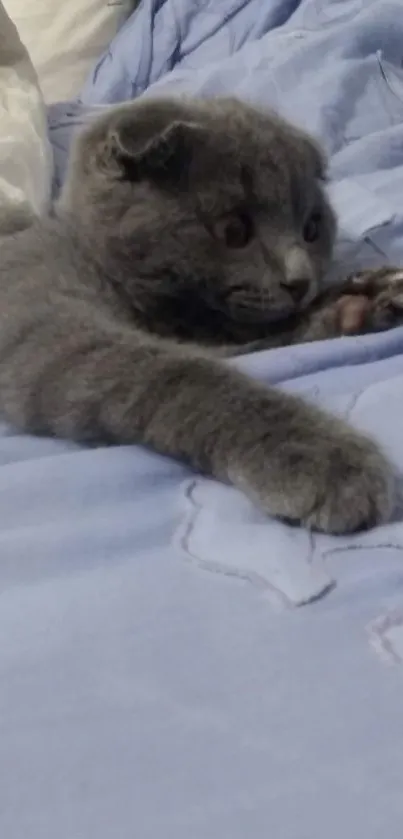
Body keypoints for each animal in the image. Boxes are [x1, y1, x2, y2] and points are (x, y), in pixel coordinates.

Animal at [0, 97, 402, 532]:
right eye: (233, 231)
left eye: (312, 229)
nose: (300, 281)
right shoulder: (43, 319)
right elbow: (186, 372)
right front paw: (325, 458)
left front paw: (363, 300)